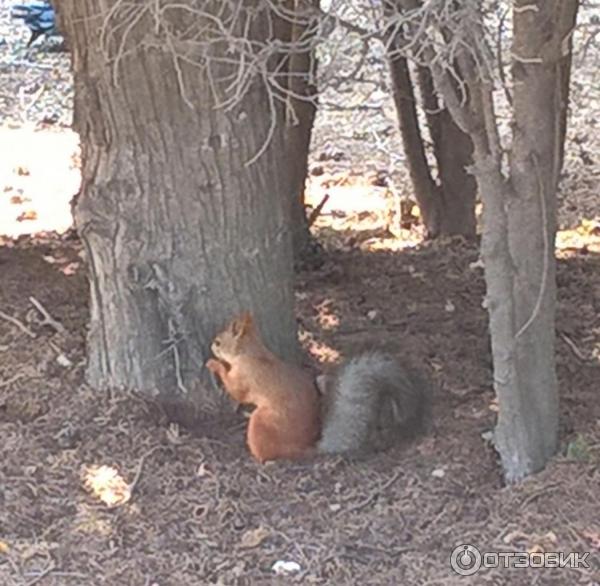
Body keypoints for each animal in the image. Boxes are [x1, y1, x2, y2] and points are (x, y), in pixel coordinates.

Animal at [204, 310, 428, 460]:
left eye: (218, 342)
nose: (211, 346)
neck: (251, 352)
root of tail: (302, 448)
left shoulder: (246, 376)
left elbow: (236, 391)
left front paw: (214, 364)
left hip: (262, 422)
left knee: (267, 453)